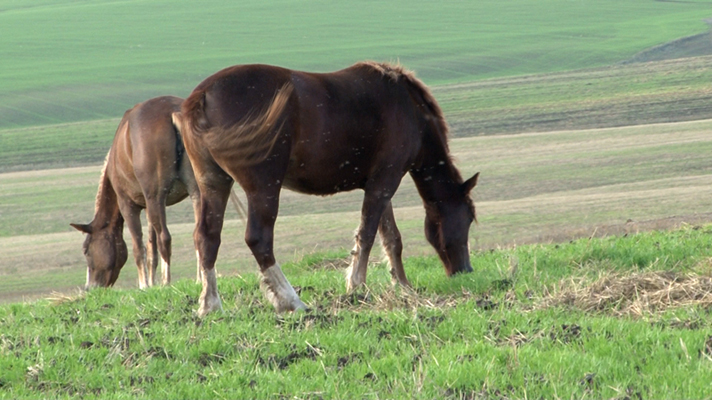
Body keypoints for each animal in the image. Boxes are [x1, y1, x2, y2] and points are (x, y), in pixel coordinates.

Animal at [70, 97, 200, 290]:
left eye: (86, 250)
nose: (89, 288)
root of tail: (173, 112)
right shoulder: (148, 207)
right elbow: (151, 248)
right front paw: (151, 283)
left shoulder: (128, 205)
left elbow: (139, 248)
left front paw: (144, 285)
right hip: (195, 192)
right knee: (199, 232)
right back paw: (201, 278)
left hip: (156, 198)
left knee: (165, 238)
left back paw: (166, 282)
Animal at [175, 61, 482, 316]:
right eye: (468, 218)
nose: (465, 270)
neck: (408, 107)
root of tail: (202, 97)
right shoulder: (386, 181)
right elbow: (368, 235)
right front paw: (357, 286)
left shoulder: (379, 184)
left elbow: (391, 237)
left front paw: (402, 285)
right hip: (263, 188)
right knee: (259, 239)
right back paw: (291, 301)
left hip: (214, 184)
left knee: (207, 238)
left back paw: (210, 305)